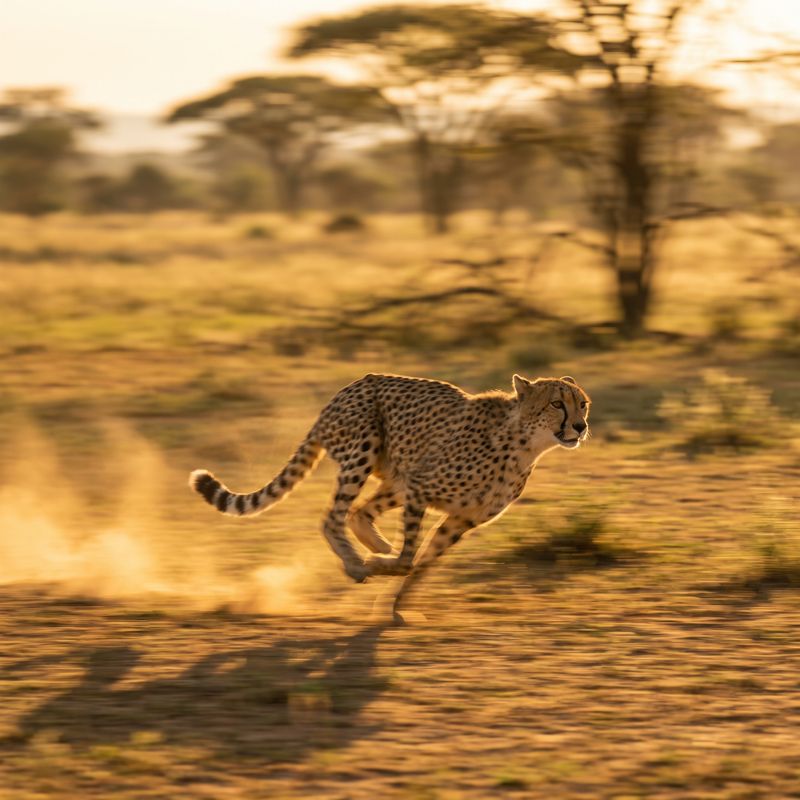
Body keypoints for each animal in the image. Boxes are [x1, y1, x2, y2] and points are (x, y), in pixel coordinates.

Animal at [189, 372, 590, 618]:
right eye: (556, 403)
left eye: (582, 403)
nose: (580, 426)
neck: (525, 444)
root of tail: (349, 386)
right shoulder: (421, 487)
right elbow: (410, 558)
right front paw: (373, 568)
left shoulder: (459, 518)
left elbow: (420, 565)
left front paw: (396, 606)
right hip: (364, 450)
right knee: (332, 516)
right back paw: (356, 562)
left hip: (394, 475)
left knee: (357, 512)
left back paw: (376, 545)